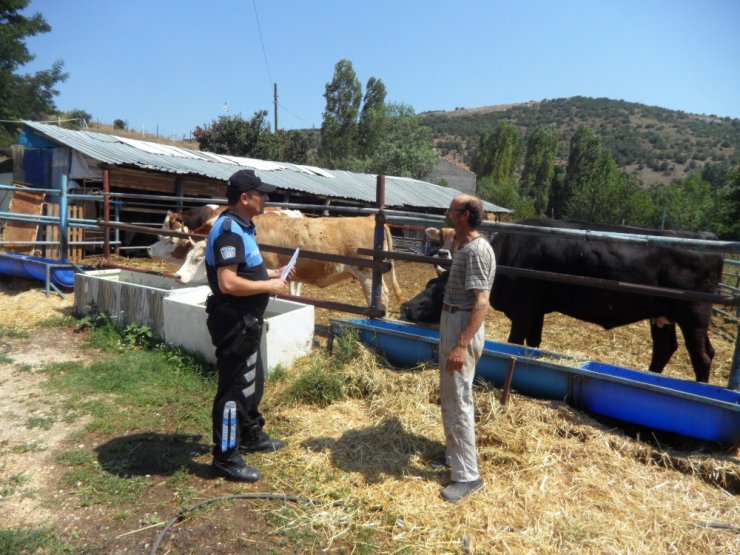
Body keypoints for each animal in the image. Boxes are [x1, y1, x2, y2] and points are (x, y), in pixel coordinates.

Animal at [172, 214, 404, 310]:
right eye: (187, 255)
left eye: (197, 259)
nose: (177, 276)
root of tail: (369, 217)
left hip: (367, 273)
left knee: (380, 295)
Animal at [398, 219, 724, 384]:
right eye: (428, 284)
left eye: (441, 292)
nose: (406, 307)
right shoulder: (537, 311)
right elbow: (533, 343)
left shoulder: (524, 309)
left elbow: (514, 341)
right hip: (662, 315)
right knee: (665, 348)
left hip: (694, 313)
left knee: (702, 355)